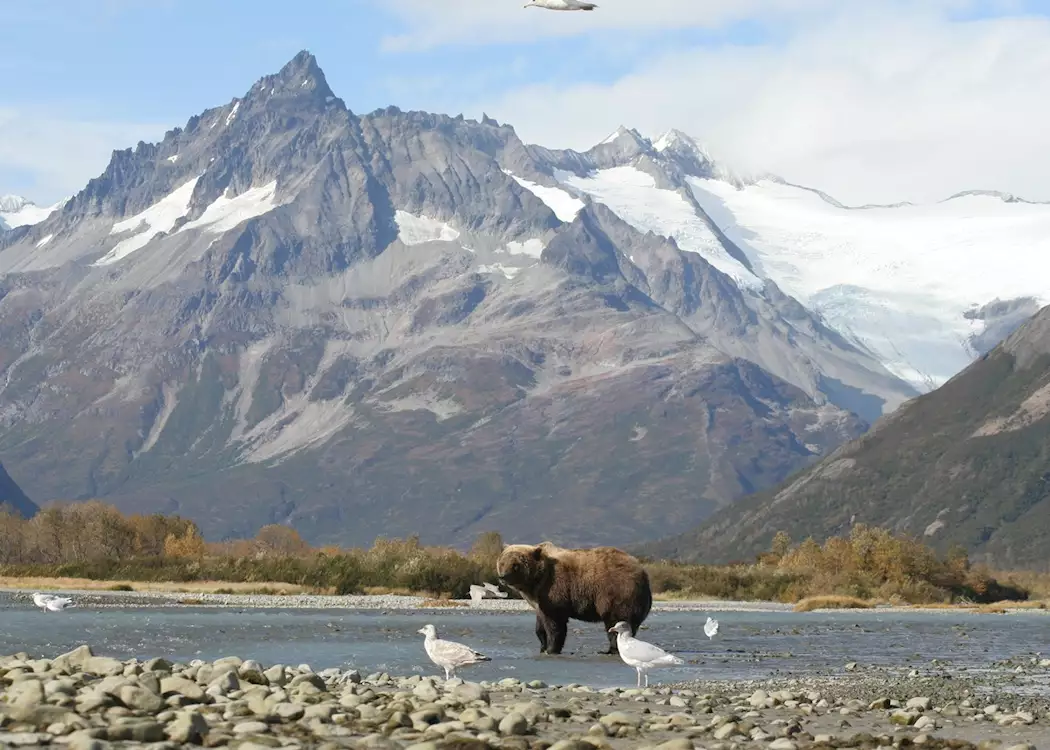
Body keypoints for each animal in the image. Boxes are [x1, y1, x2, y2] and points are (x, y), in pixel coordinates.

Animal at [495, 537, 651, 655]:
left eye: (515, 565)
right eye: (502, 562)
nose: (503, 577)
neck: (536, 582)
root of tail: (642, 571)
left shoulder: (555, 589)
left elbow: (555, 622)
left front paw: (551, 648)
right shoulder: (538, 599)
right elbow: (540, 624)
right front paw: (542, 646)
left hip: (616, 592)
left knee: (615, 621)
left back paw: (611, 650)